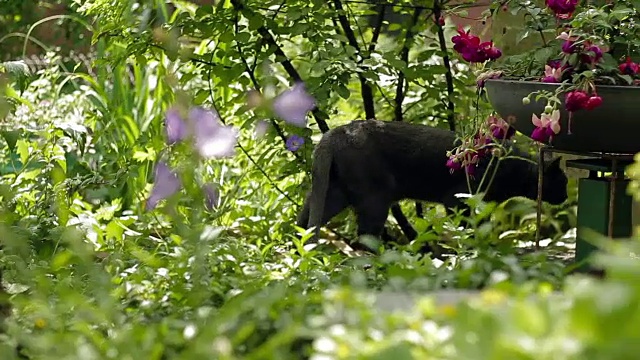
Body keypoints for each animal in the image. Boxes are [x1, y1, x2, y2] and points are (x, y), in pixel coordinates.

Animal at [298, 121, 568, 248]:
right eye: (563, 182)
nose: (566, 196)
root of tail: (337, 131)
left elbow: (482, 224)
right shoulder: (458, 199)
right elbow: (467, 228)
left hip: (334, 194)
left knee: (305, 220)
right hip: (374, 201)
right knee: (364, 239)